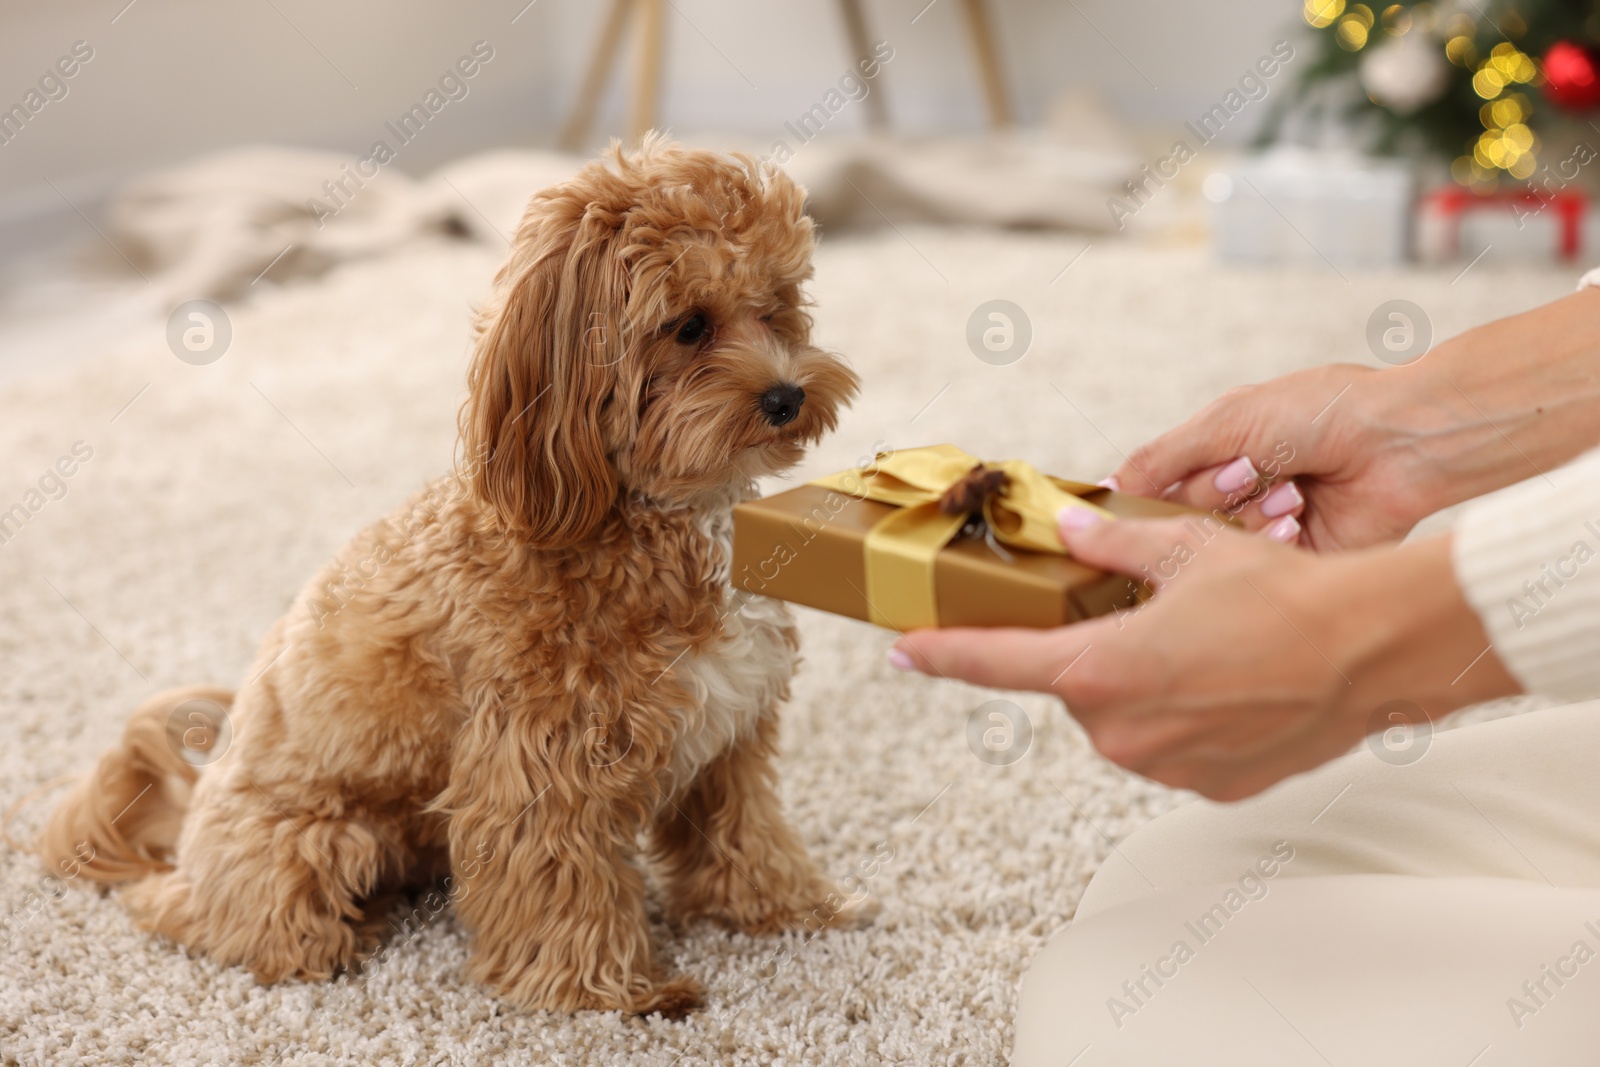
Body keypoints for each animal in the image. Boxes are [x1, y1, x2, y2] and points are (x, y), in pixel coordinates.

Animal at [40, 141, 864, 1017]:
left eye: (775, 308)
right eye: (690, 326)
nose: (788, 395)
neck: (648, 513)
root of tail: (186, 839)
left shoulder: (727, 734)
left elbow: (745, 834)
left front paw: (790, 906)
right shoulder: (537, 765)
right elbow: (560, 886)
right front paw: (605, 992)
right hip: (316, 843)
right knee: (208, 921)